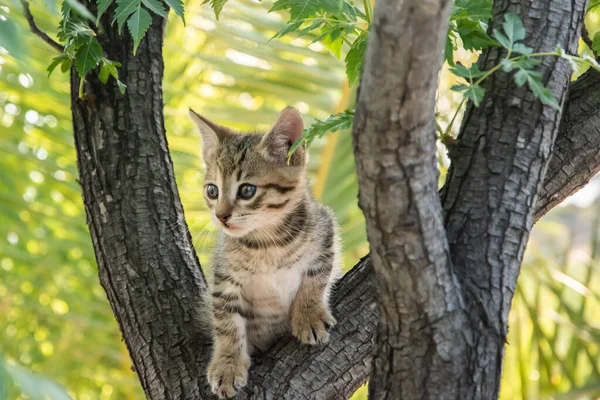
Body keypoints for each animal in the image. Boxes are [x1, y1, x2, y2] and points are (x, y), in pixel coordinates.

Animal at [191, 105, 342, 396]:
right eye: (212, 191)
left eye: (247, 190)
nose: (221, 216)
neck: (268, 244)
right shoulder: (224, 277)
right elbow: (226, 323)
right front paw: (227, 364)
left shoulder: (326, 232)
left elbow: (316, 280)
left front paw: (308, 316)